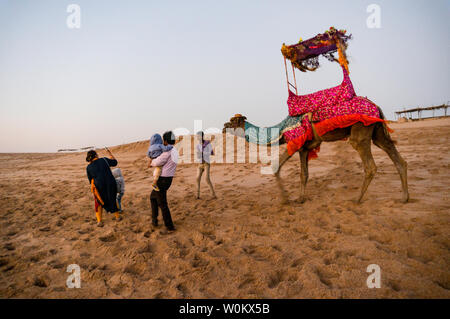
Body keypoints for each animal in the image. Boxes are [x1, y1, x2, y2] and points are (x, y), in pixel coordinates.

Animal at [223, 111, 410, 204]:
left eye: (233, 120)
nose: (224, 126)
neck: (280, 130)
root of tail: (377, 107)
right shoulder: (305, 148)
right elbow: (304, 174)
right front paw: (300, 199)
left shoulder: (294, 143)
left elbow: (276, 167)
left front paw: (285, 199)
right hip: (377, 132)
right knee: (398, 159)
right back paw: (404, 198)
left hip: (360, 131)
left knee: (370, 165)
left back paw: (356, 199)